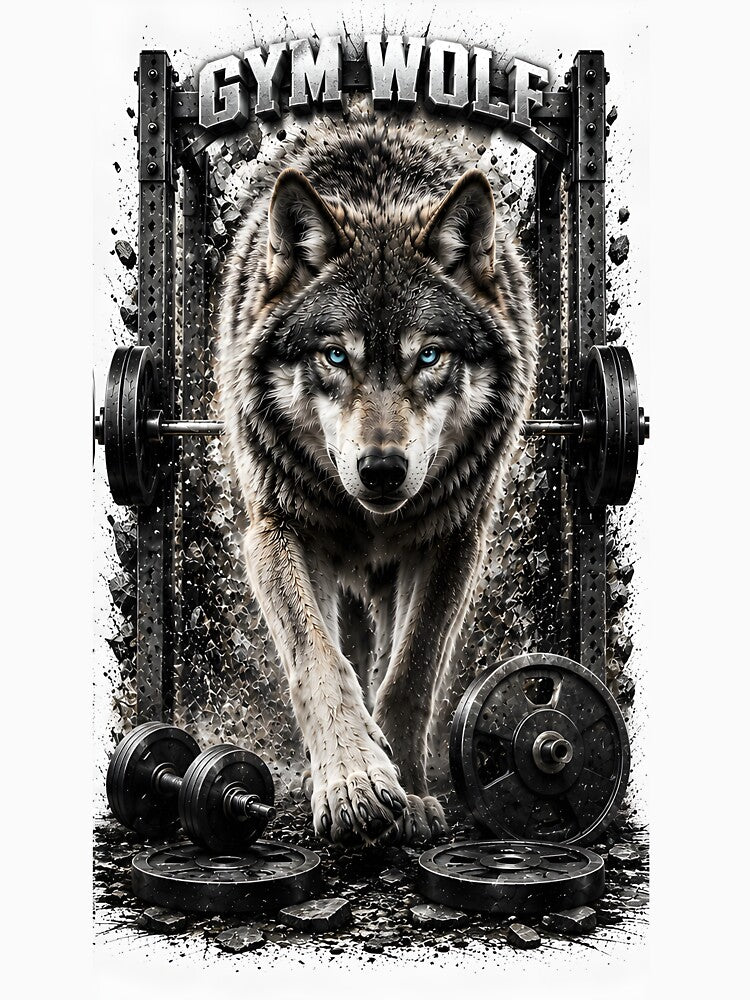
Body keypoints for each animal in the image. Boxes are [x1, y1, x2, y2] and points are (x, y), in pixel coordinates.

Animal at [218, 117, 537, 845]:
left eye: (430, 356)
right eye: (337, 356)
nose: (383, 470)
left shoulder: (454, 540)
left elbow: (411, 673)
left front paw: (411, 796)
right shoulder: (276, 531)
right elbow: (319, 660)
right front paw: (353, 783)